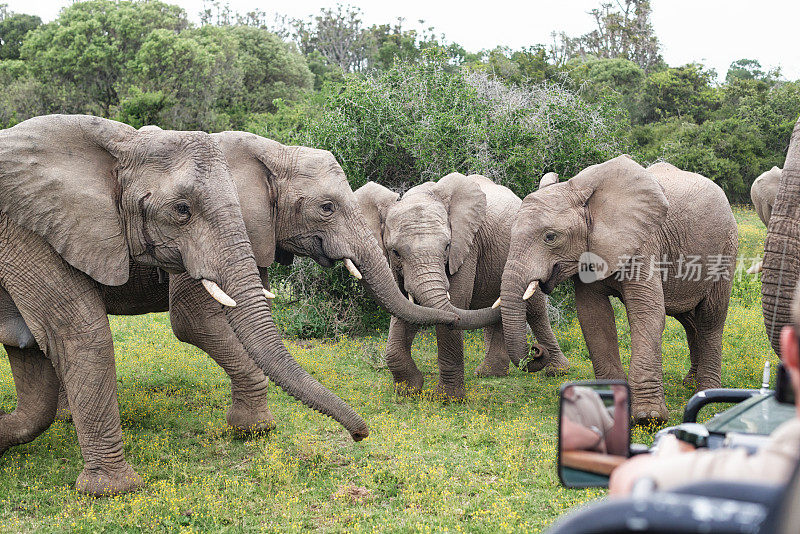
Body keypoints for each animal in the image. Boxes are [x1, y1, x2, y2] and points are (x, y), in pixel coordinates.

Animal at [356, 174, 568, 400]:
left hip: (533, 255)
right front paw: (408, 391)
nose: (535, 350)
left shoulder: (466, 247)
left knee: (535, 311)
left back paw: (558, 371)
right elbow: (407, 309)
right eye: (395, 252)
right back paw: (489, 373)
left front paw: (447, 399)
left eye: (447, 247)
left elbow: (454, 302)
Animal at [500, 157, 736, 426]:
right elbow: (593, 316)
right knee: (688, 319)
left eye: (550, 237)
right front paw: (610, 406)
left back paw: (705, 391)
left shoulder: (644, 244)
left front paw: (648, 418)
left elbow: (647, 313)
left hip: (725, 248)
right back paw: (690, 383)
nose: (536, 350)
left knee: (710, 318)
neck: (580, 190)